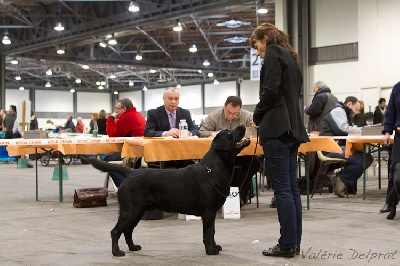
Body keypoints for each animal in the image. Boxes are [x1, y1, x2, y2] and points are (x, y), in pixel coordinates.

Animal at [85, 125, 250, 256]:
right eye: (229, 133)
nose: (242, 125)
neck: (213, 170)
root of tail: (130, 172)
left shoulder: (212, 212)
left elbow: (213, 231)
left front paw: (215, 246)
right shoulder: (208, 211)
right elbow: (208, 233)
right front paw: (210, 250)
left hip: (137, 211)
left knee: (128, 230)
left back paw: (133, 247)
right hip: (130, 210)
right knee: (116, 231)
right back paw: (117, 252)